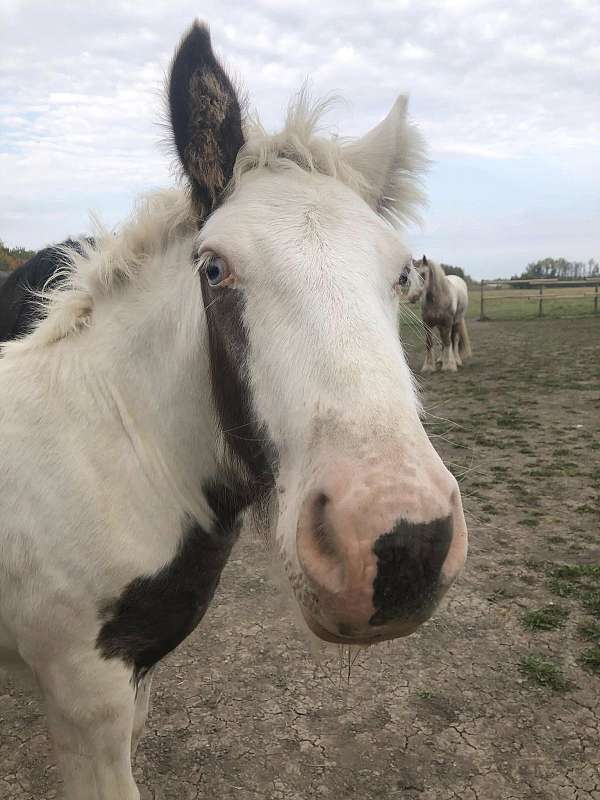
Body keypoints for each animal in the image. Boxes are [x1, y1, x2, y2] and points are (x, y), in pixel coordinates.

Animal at [0, 22, 468, 799]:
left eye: (402, 273)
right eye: (213, 267)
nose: (405, 545)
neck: (101, 455)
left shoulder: (134, 681)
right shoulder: (83, 694)